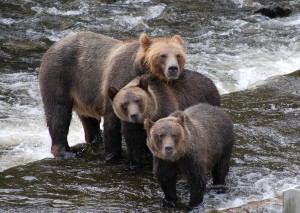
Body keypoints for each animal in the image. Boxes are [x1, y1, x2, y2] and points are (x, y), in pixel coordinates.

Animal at [38, 31, 186, 158]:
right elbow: (112, 120)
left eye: (178, 55)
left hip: (83, 94)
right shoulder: (118, 82)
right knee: (58, 112)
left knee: (89, 121)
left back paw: (94, 139)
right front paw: (113, 154)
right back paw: (66, 152)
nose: (173, 68)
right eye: (163, 55)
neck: (142, 70)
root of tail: (53, 46)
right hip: (59, 76)